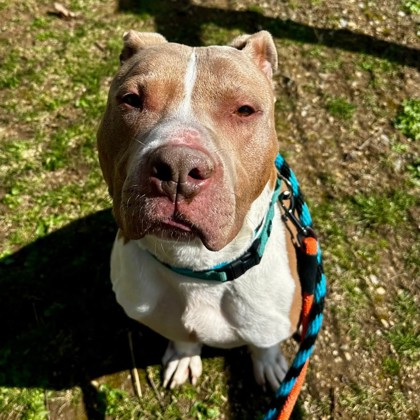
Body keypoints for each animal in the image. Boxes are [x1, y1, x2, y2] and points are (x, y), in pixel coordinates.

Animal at [97, 30, 302, 391]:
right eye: (131, 100)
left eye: (245, 110)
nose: (178, 167)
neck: (196, 267)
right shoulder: (160, 315)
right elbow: (182, 337)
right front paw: (183, 356)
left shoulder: (271, 321)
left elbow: (264, 345)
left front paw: (270, 364)